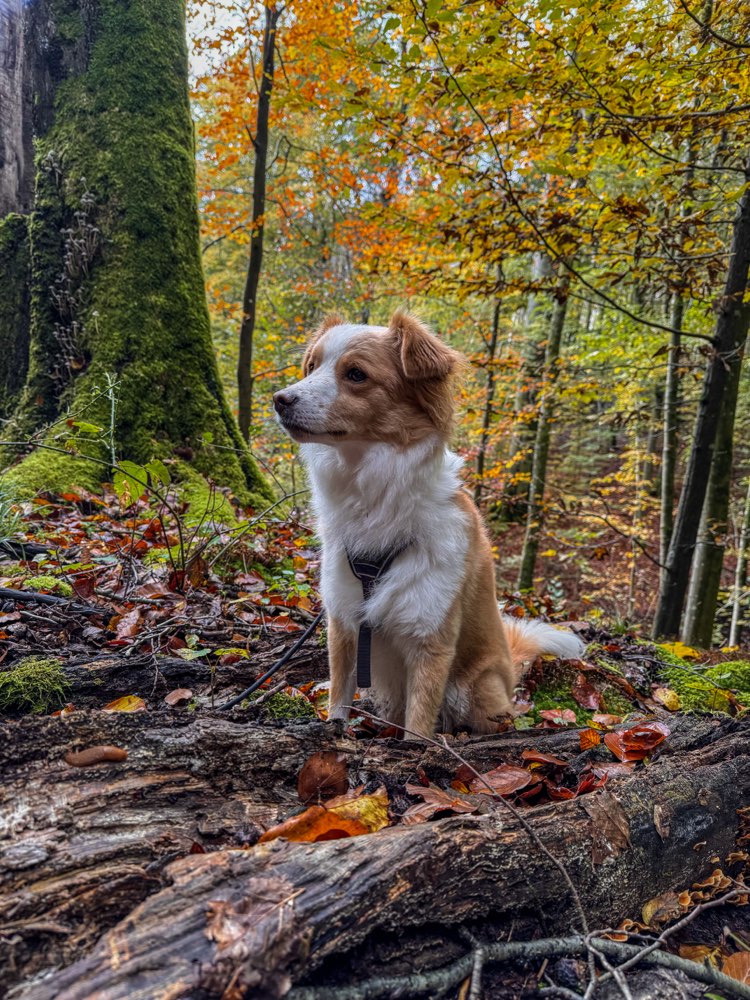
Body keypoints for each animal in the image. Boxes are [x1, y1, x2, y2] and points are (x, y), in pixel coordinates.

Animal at [274, 308, 588, 740]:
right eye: (311, 367)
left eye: (355, 374)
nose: (280, 399)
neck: (375, 494)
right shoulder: (344, 621)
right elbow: (339, 692)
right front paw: (334, 728)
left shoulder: (431, 636)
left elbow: (419, 721)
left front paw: (414, 746)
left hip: (475, 690)